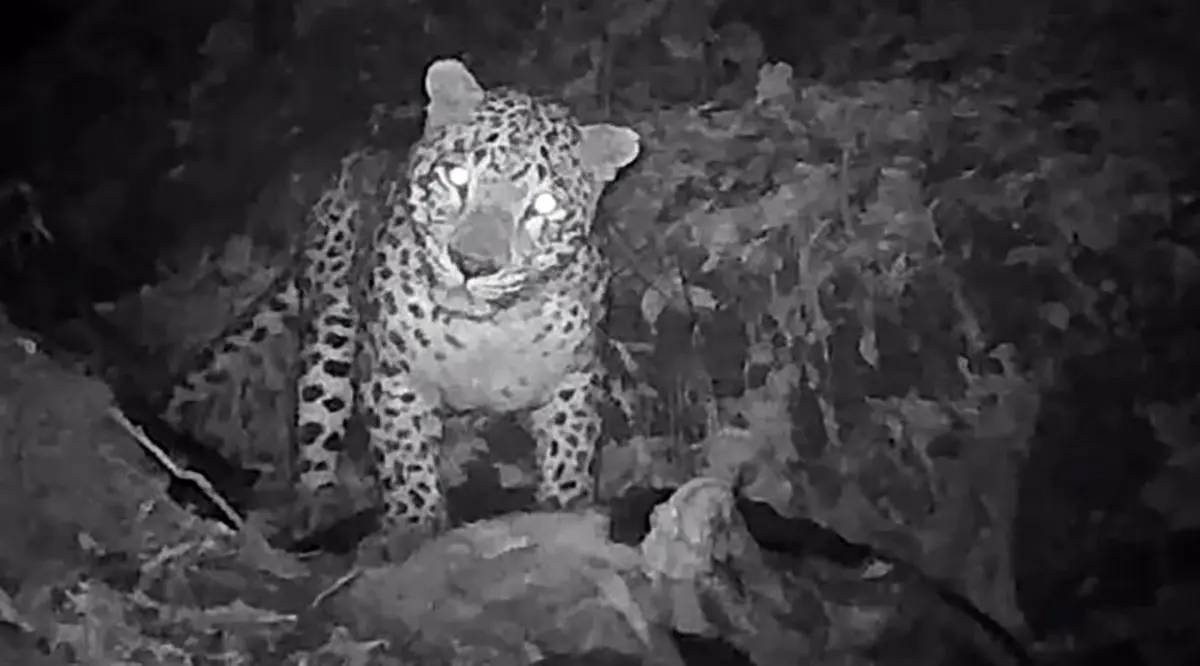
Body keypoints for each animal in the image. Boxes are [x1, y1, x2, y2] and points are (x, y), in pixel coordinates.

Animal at [162, 58, 640, 538]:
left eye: (543, 205)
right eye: (457, 177)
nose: (472, 264)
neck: (487, 334)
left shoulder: (574, 378)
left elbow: (570, 451)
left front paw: (565, 506)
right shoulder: (392, 376)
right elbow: (404, 457)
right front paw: (414, 526)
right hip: (333, 323)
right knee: (317, 423)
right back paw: (318, 507)